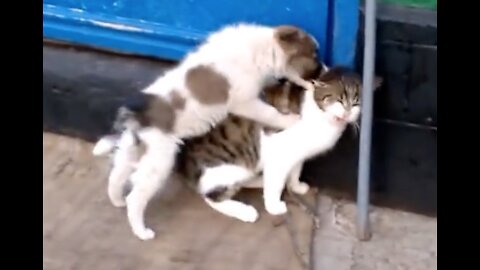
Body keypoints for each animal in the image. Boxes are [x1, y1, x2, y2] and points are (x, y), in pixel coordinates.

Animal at [94, 66, 382, 227]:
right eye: (338, 99)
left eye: (357, 102)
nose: (348, 113)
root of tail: (183, 162)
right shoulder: (278, 150)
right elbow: (276, 182)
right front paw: (274, 205)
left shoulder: (297, 154)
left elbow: (295, 171)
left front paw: (297, 186)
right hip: (230, 167)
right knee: (210, 195)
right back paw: (244, 210)